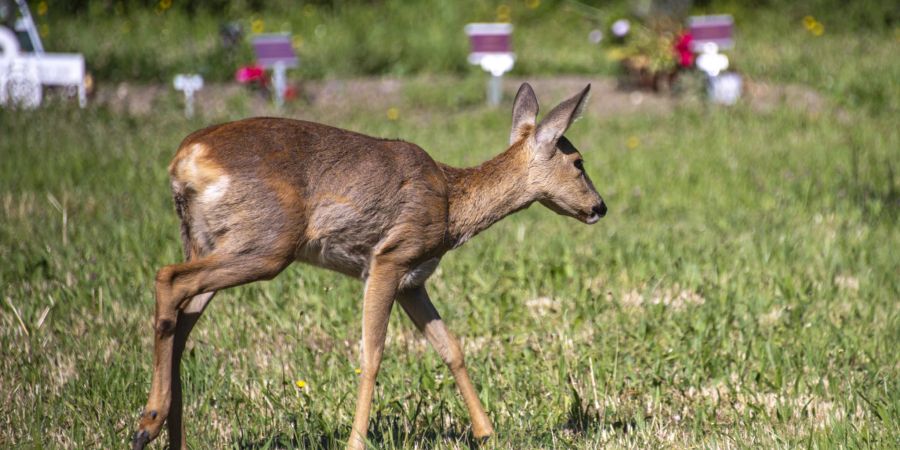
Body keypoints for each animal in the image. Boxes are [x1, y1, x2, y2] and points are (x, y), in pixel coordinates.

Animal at [132, 82, 604, 448]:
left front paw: (487, 433)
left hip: (209, 240)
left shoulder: (414, 279)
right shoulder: (389, 258)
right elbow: (372, 352)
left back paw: (168, 434)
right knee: (168, 279)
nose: (600, 207)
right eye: (578, 162)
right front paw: (356, 440)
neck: (452, 205)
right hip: (267, 242)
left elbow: (451, 348)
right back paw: (148, 422)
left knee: (181, 323)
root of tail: (186, 157)